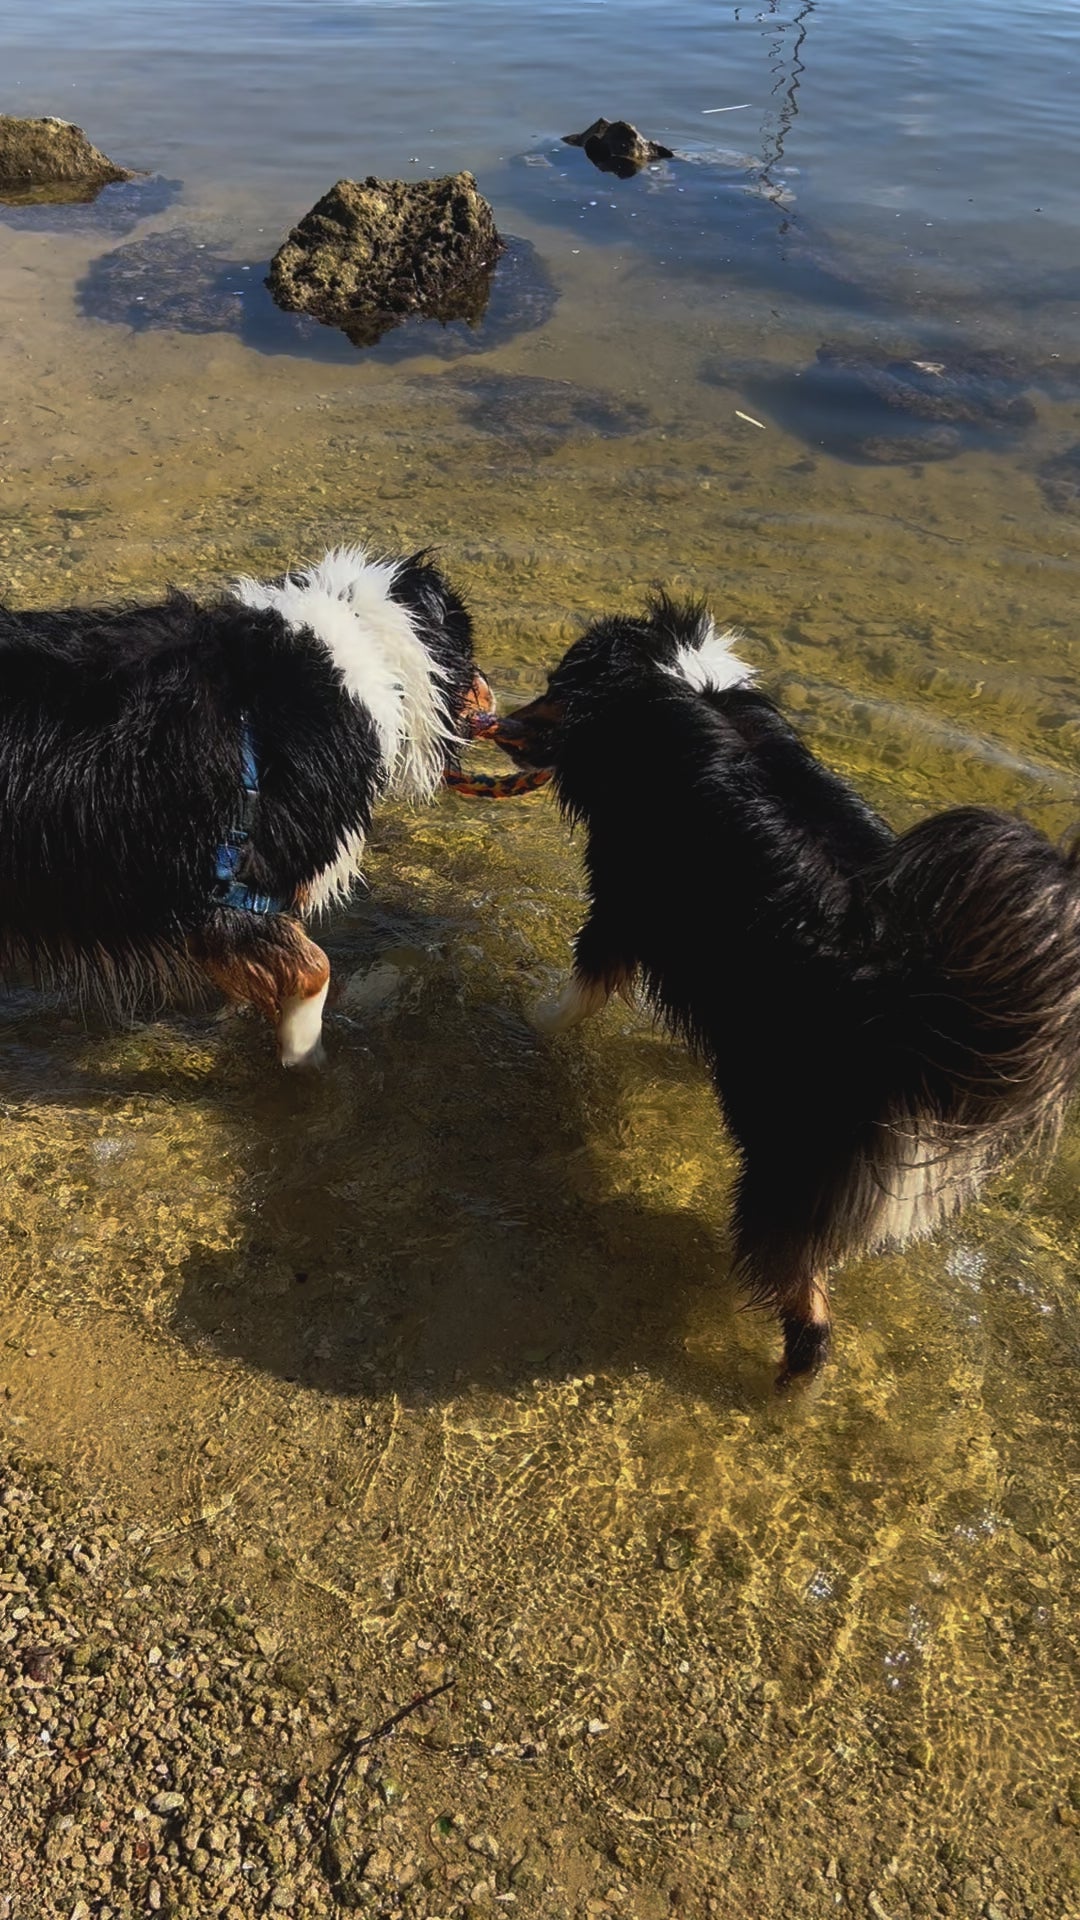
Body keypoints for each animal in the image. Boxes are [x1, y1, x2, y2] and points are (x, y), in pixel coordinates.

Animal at [495, 595, 1076, 1382]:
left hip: (783, 1176)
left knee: (808, 1307)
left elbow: (580, 985)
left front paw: (536, 1014)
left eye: (555, 687)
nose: (500, 721)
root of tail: (914, 1018)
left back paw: (791, 1387)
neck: (672, 681)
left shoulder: (622, 900)